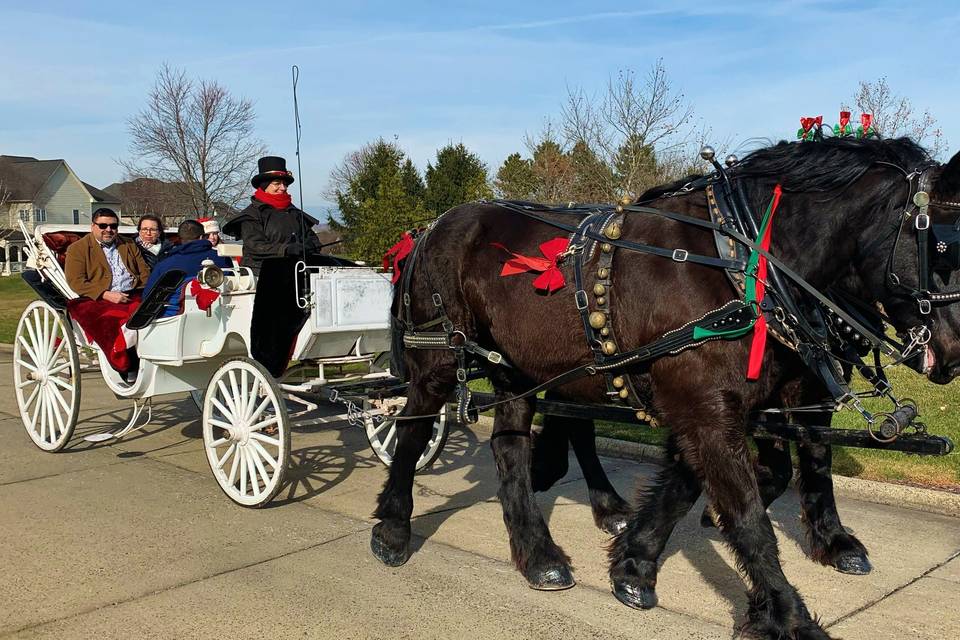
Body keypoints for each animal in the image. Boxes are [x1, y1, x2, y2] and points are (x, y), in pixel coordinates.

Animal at [372, 138, 960, 636]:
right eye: (943, 244)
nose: (953, 353)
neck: (737, 261)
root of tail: (428, 230)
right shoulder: (708, 407)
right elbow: (749, 514)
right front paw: (789, 616)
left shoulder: (721, 403)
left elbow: (699, 483)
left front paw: (635, 562)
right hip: (441, 357)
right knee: (412, 426)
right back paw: (393, 528)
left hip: (521, 368)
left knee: (511, 446)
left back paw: (540, 552)